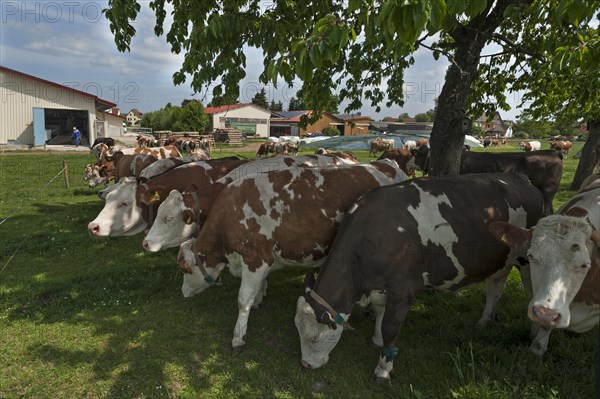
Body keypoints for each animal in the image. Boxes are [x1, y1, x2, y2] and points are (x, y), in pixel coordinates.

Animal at [176, 159, 406, 354]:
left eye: (185, 269)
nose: (183, 292)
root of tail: (386, 164)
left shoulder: (255, 259)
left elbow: (243, 300)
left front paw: (238, 339)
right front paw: (258, 300)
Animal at [292, 173, 548, 380]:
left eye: (314, 338)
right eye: (297, 329)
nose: (305, 365)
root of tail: (520, 179)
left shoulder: (403, 287)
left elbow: (391, 327)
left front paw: (383, 369)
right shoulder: (380, 286)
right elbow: (380, 313)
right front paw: (376, 340)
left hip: (526, 261)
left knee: (532, 292)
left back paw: (536, 337)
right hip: (501, 260)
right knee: (495, 288)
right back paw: (485, 321)